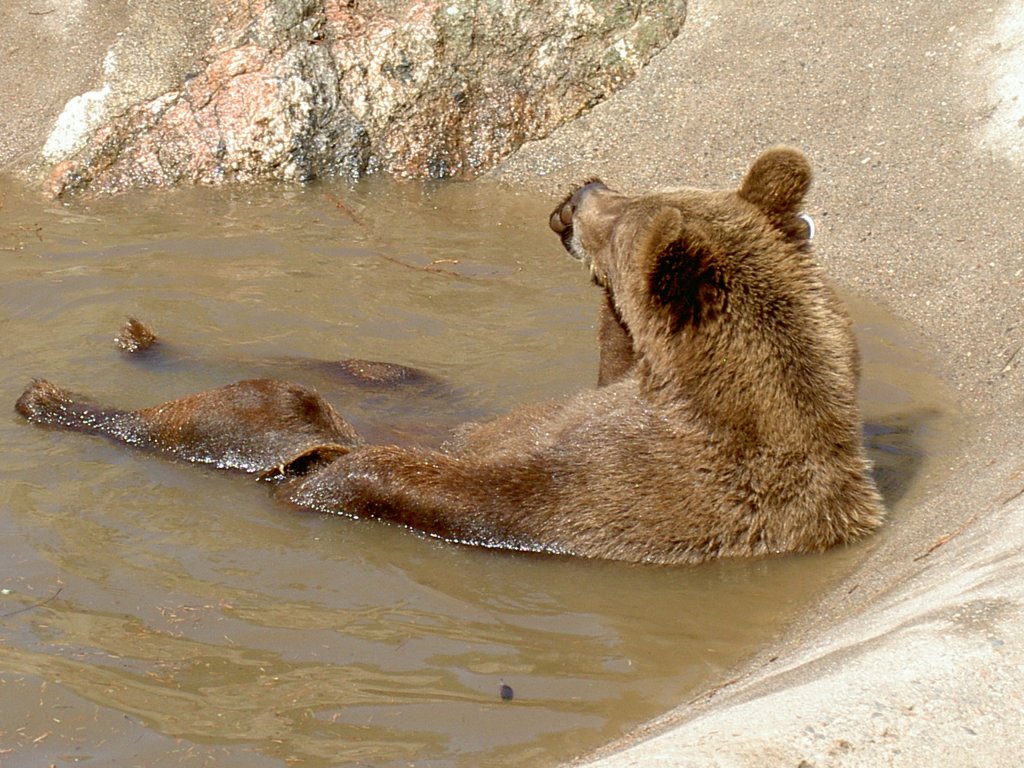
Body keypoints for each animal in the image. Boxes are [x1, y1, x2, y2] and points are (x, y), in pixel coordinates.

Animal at [12, 148, 884, 565]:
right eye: (638, 190)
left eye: (622, 209)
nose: (583, 190)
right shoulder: (604, 402)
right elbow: (594, 373)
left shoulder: (621, 486)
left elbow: (455, 484)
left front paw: (325, 482)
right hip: (397, 380)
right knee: (369, 368)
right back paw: (141, 337)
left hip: (259, 418)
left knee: (232, 412)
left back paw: (51, 395)